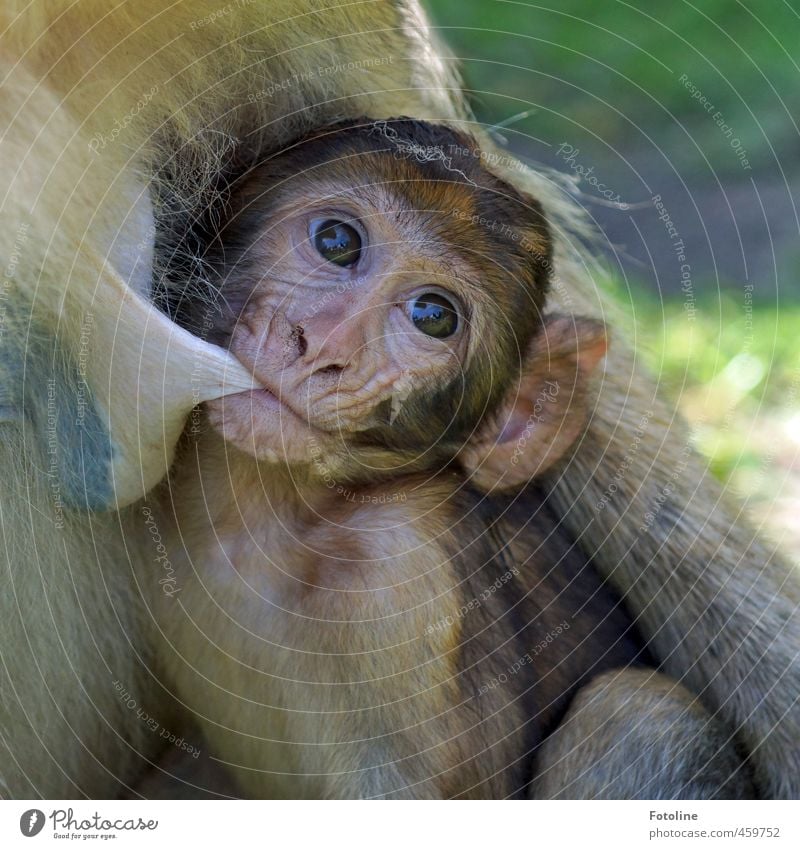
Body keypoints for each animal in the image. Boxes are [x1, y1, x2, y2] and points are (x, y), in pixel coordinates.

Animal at [147, 121, 752, 800]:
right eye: (336, 242)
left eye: (433, 316)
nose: (323, 346)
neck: (269, 515)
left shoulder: (401, 570)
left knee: (636, 711)